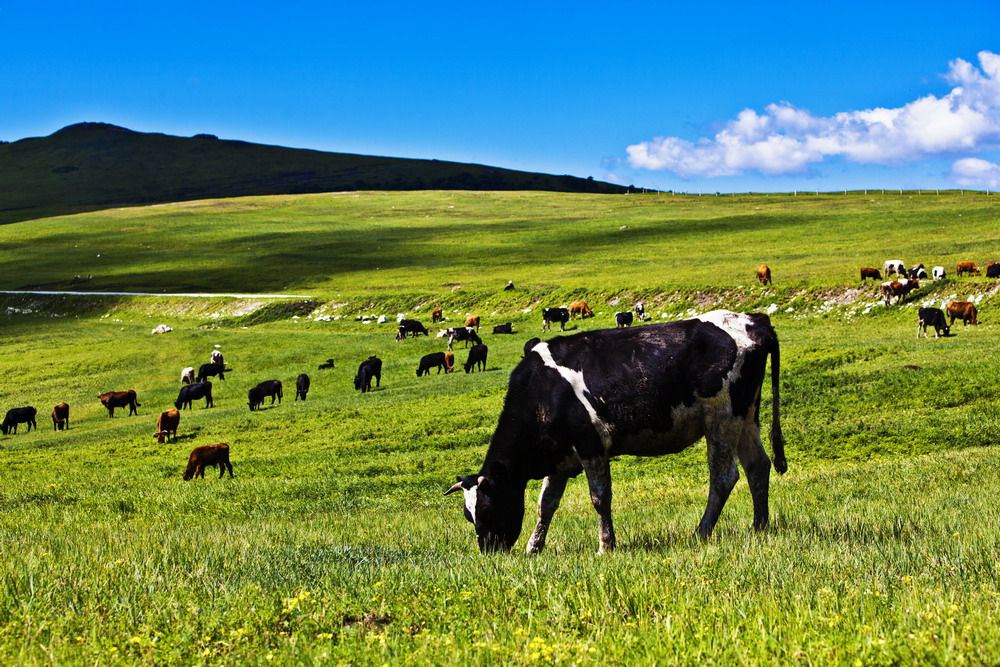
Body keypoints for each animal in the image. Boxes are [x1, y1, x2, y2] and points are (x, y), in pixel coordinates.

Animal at [448, 310, 788, 556]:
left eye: (487, 509)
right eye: (467, 515)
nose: (488, 551)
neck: (543, 391)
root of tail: (752, 321)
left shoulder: (591, 443)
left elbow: (600, 498)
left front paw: (606, 546)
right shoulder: (561, 457)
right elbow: (546, 503)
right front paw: (534, 547)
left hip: (722, 417)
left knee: (724, 476)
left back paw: (702, 531)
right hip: (746, 416)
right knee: (758, 466)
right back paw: (759, 526)